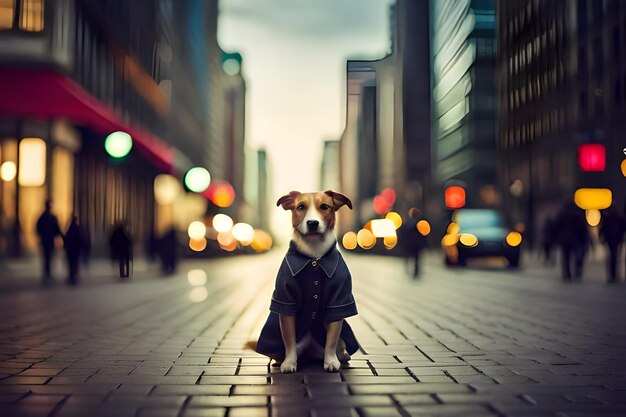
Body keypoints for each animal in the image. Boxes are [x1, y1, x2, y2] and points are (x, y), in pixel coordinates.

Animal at [255, 190, 360, 372]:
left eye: (324, 206)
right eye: (300, 207)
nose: (312, 223)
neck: (314, 255)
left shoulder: (338, 299)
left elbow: (332, 339)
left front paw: (330, 361)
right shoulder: (286, 300)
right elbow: (289, 340)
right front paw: (289, 363)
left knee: (339, 347)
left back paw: (342, 357)